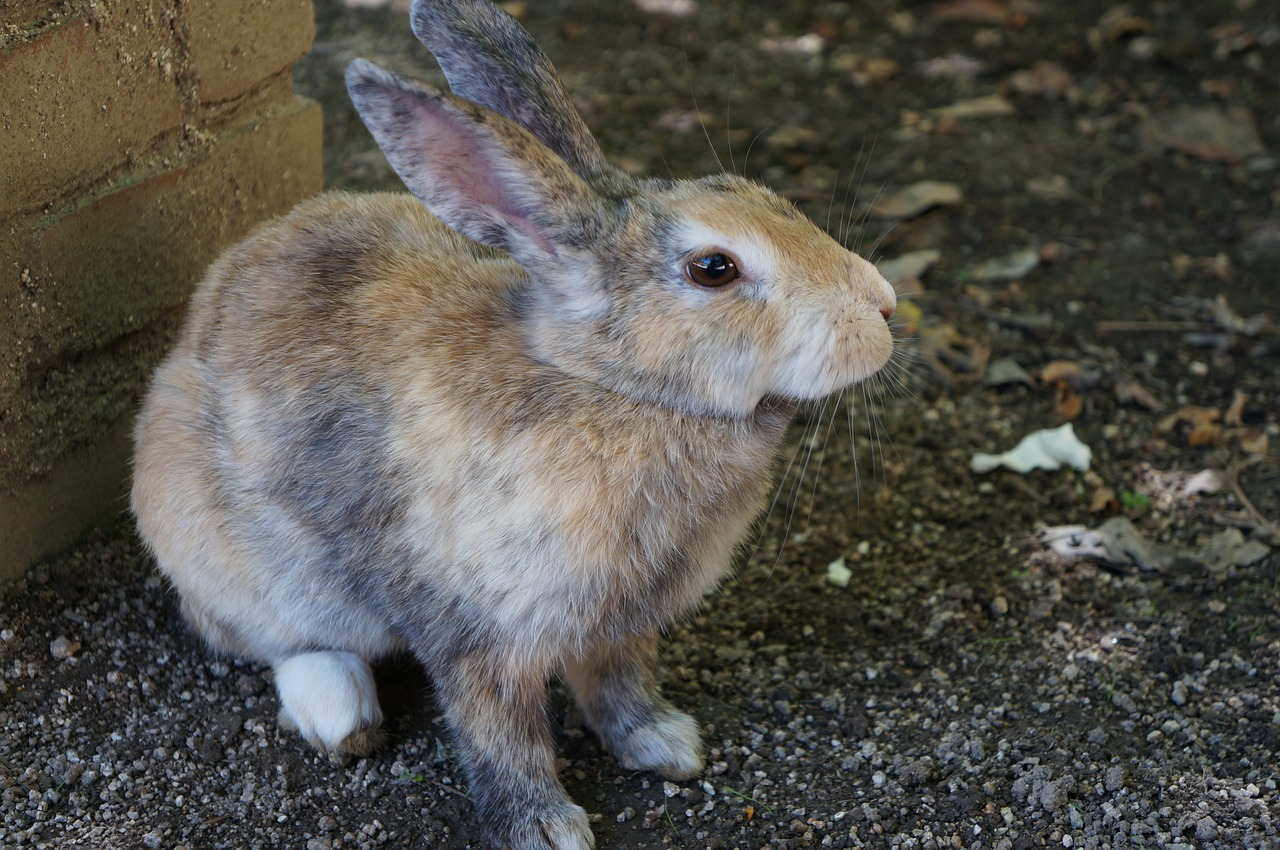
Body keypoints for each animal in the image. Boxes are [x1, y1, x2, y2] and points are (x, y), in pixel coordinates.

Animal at [127, 0, 890, 844]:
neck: (606, 386)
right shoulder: (478, 631)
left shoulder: (617, 622)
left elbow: (620, 683)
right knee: (264, 637)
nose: (884, 305)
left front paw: (665, 744)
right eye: (713, 269)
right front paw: (546, 827)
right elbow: (500, 731)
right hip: (226, 554)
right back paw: (340, 711)